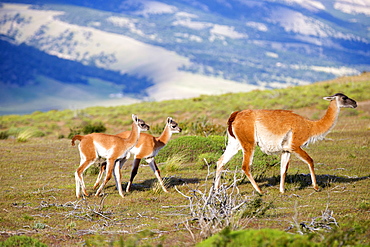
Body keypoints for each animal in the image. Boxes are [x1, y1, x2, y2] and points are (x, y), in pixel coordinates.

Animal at [215, 92, 356, 193]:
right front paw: (316, 187)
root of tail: (235, 115)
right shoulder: (295, 146)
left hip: (234, 143)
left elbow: (283, 169)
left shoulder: (286, 149)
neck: (310, 126)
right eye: (344, 98)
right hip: (248, 142)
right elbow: (310, 161)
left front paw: (282, 190)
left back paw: (216, 190)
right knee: (245, 166)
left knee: (220, 161)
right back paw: (260, 191)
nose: (355, 103)